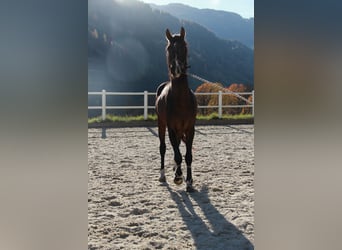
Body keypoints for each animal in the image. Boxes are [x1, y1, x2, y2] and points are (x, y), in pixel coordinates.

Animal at [156, 26, 198, 191]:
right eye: (168, 49)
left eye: (184, 47)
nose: (177, 69)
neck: (181, 101)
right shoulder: (171, 128)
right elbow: (177, 154)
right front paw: (179, 177)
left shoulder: (190, 128)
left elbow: (188, 156)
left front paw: (189, 181)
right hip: (161, 125)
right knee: (163, 148)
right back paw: (163, 175)